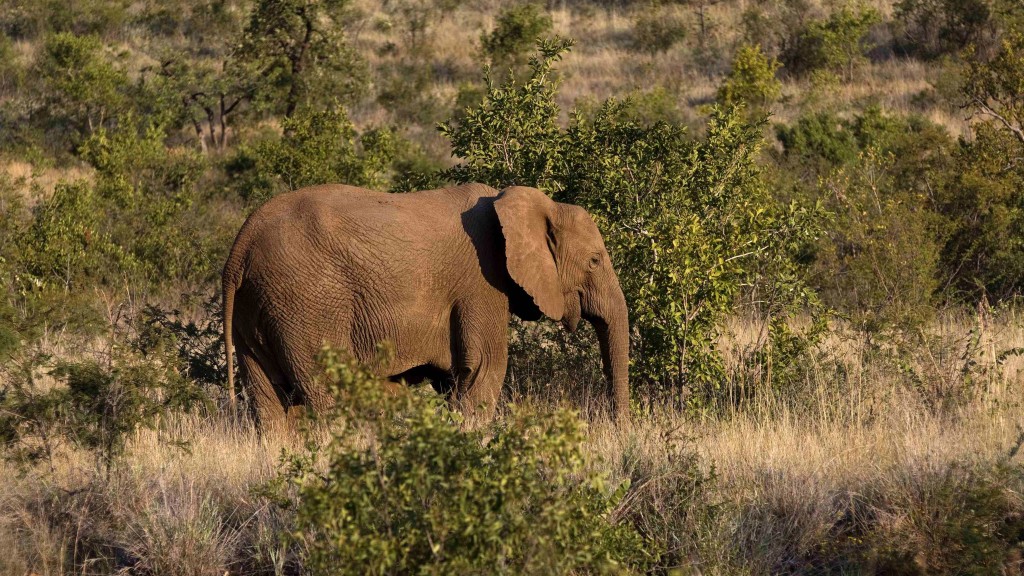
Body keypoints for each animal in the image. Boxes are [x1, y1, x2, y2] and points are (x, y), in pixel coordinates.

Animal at [220, 181, 626, 428]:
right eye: (595, 261)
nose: (616, 426)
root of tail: (240, 247)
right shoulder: (481, 282)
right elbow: (484, 368)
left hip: (260, 307)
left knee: (271, 405)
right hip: (307, 303)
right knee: (328, 395)